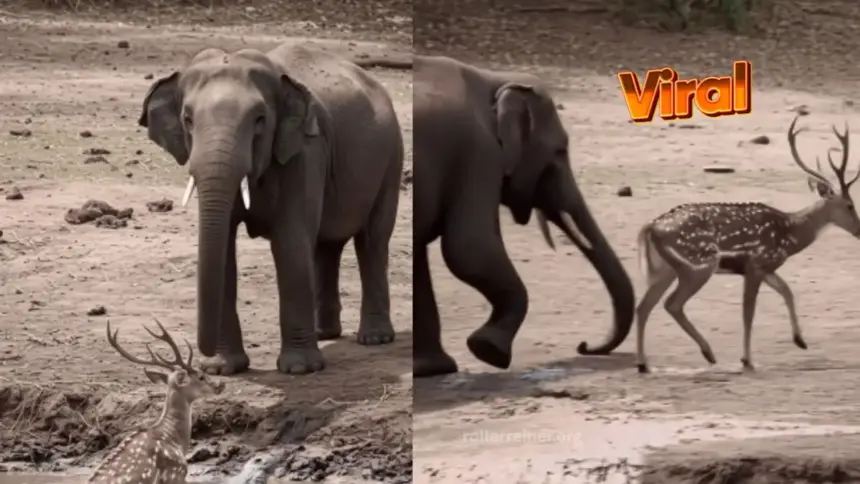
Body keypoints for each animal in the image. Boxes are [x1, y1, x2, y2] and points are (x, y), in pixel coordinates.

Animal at [138, 44, 404, 375]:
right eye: (188, 119)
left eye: (260, 120)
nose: (200, 361)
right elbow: (225, 247)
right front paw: (222, 369)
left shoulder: (305, 152)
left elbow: (290, 242)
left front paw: (300, 369)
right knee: (326, 246)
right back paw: (324, 333)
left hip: (392, 158)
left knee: (372, 240)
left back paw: (374, 338)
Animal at [413, 55, 636, 378]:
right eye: (560, 151)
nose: (583, 345)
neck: (492, 78)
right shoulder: (480, 153)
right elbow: (470, 250)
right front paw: (489, 351)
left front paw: (433, 369)